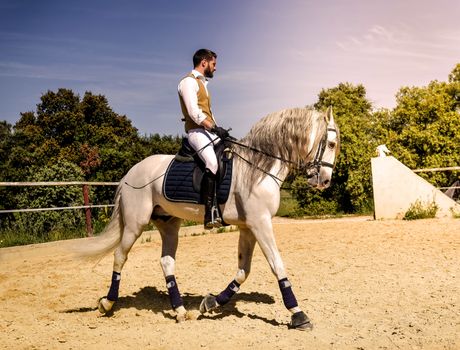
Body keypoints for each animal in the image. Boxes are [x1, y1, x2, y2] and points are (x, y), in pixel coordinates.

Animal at [77, 105, 340, 330]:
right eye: (331, 143)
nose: (325, 181)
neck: (257, 169)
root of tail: (130, 173)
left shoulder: (248, 227)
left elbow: (243, 270)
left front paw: (212, 302)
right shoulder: (260, 223)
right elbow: (277, 264)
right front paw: (298, 314)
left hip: (168, 224)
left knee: (166, 262)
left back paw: (180, 310)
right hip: (135, 224)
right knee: (120, 256)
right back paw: (107, 303)